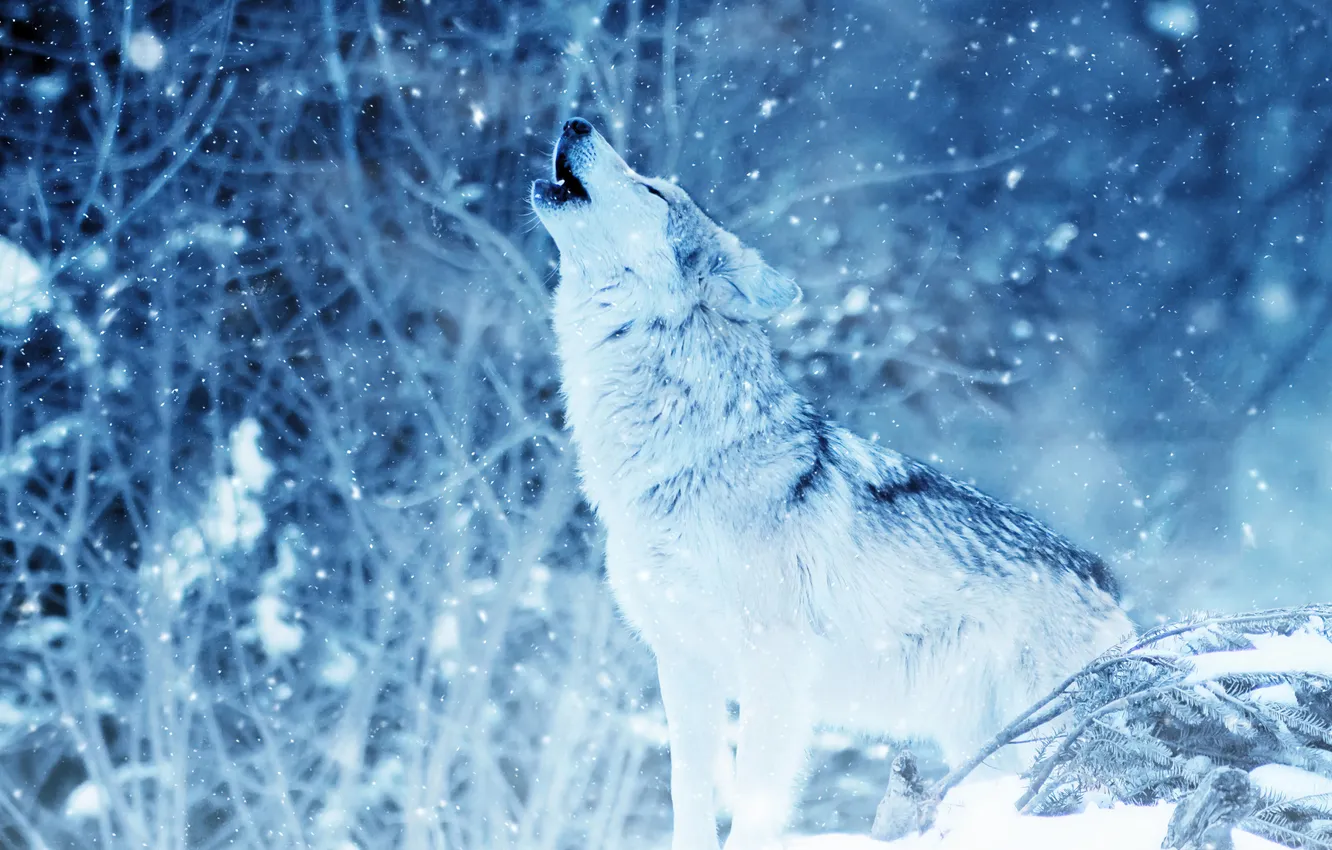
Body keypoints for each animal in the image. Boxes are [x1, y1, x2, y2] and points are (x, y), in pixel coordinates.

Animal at [531, 118, 1133, 850]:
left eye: (653, 190)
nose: (576, 122)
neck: (683, 455)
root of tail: (1107, 581)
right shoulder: (683, 664)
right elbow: (688, 795)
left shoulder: (775, 669)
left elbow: (756, 805)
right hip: (981, 742)